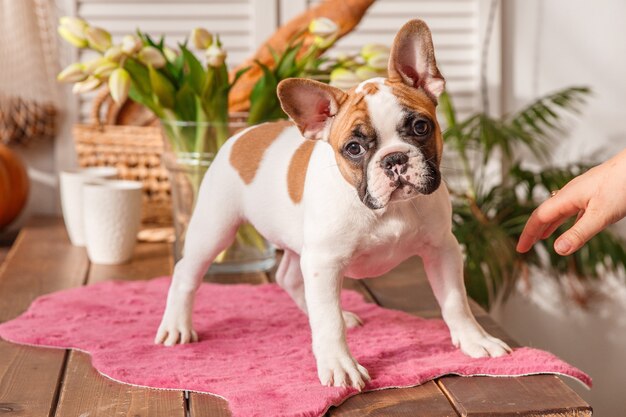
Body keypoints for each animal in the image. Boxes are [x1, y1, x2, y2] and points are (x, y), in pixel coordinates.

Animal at [155, 18, 508, 390]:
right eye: (353, 148)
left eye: (421, 126)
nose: (394, 159)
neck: (387, 209)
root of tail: (243, 134)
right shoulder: (325, 263)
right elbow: (328, 321)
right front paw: (339, 363)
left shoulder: (442, 249)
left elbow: (456, 301)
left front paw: (474, 339)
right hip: (215, 229)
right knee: (186, 272)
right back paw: (177, 325)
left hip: (298, 243)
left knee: (289, 277)